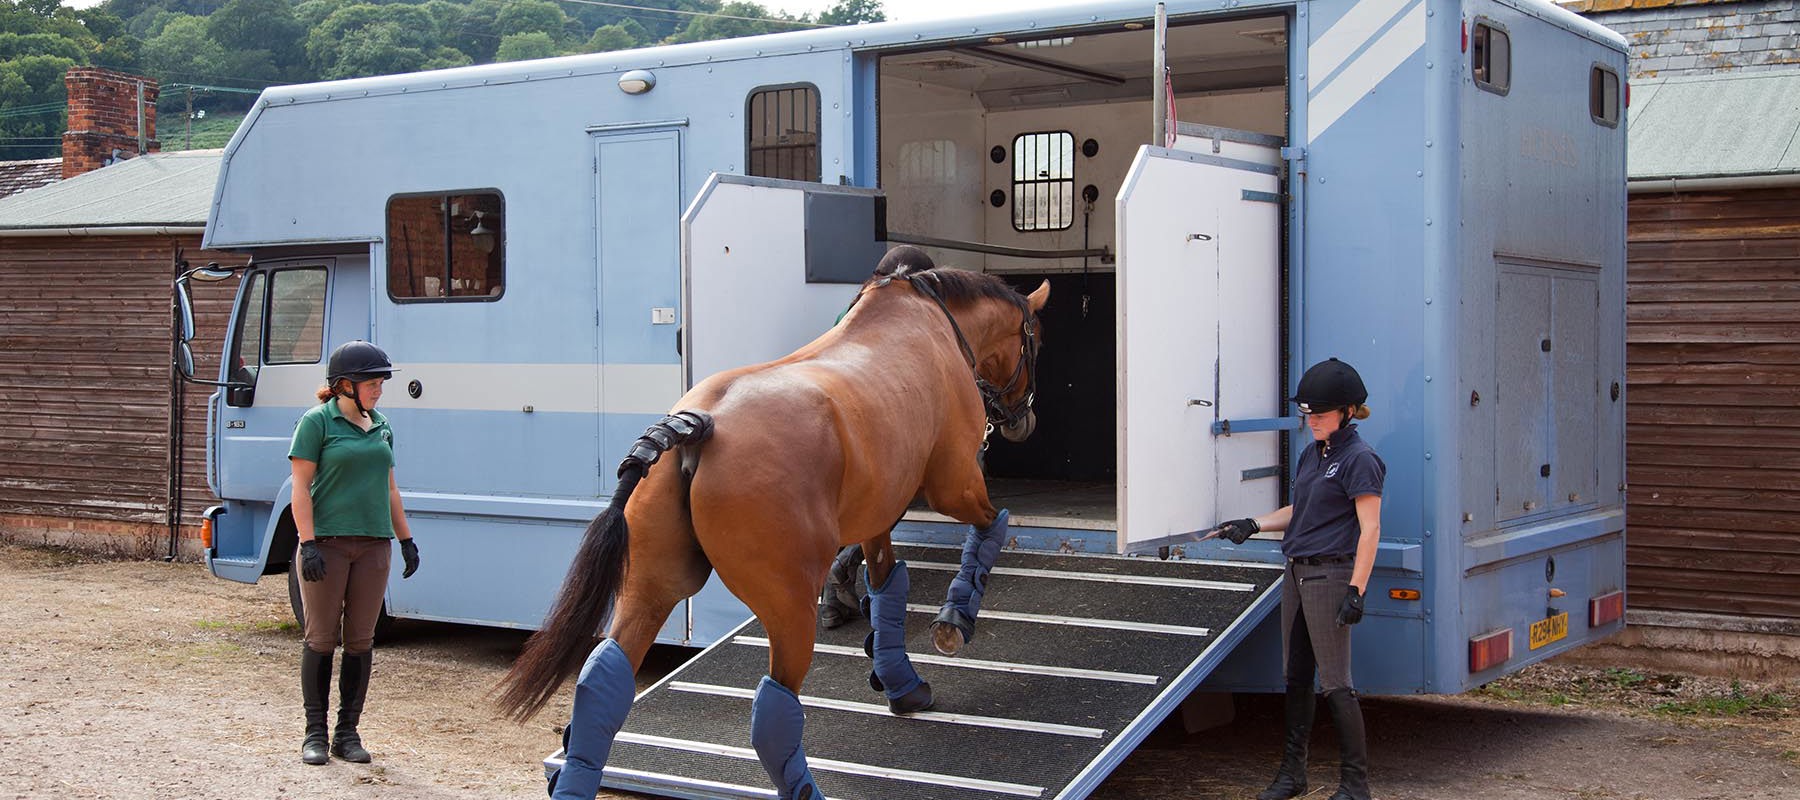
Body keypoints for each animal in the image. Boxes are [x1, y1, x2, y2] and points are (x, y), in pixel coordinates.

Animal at [494, 245, 1049, 800]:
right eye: (1035, 341)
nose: (1024, 421)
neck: (928, 319)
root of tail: (696, 424)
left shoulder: (877, 516)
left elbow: (888, 585)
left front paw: (902, 685)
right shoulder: (953, 485)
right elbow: (992, 527)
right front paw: (956, 618)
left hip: (653, 587)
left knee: (601, 682)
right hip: (788, 605)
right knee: (774, 710)